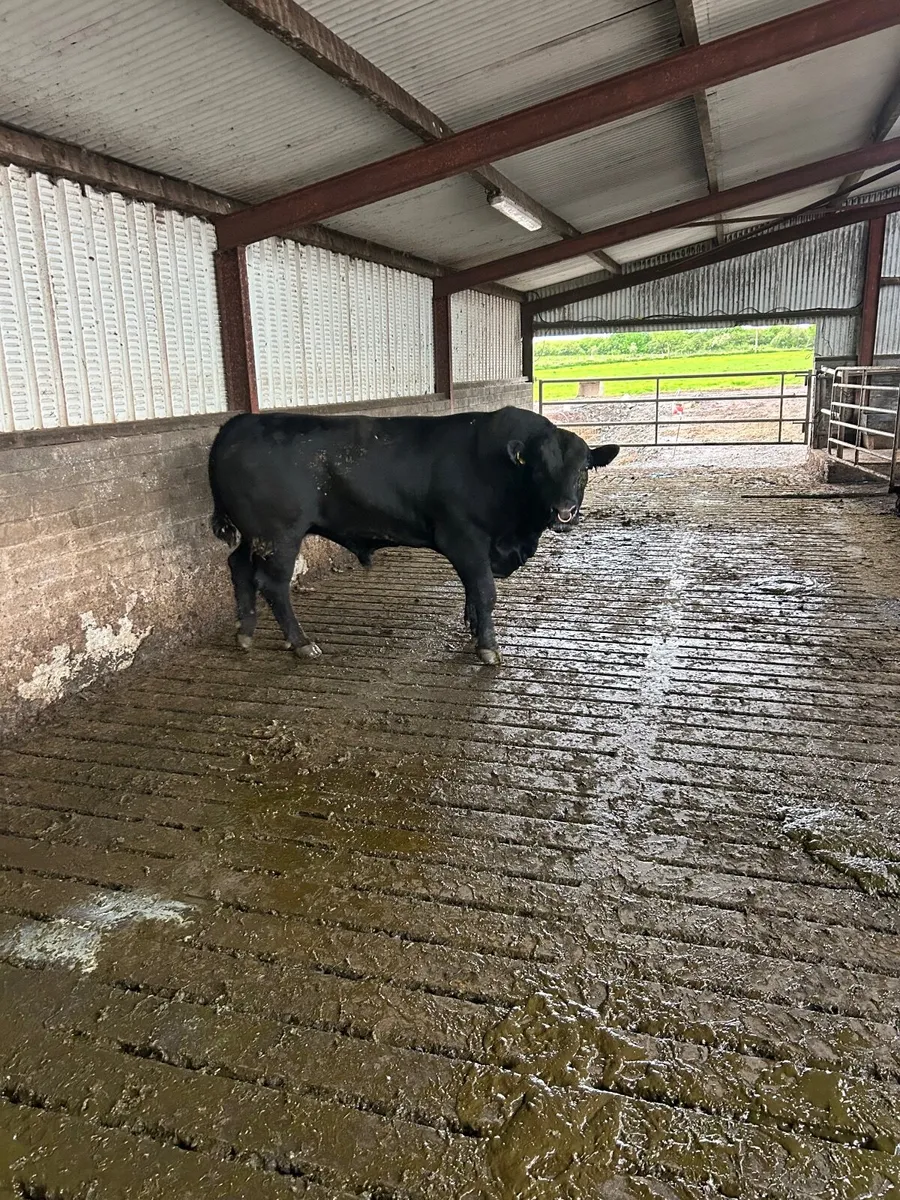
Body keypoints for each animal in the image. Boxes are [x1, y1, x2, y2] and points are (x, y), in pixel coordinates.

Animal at [207, 405, 619, 665]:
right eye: (538, 469)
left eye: (584, 468)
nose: (565, 510)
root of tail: (239, 422)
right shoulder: (464, 538)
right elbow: (485, 592)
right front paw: (488, 648)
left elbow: (473, 593)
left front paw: (473, 629)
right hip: (279, 534)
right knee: (272, 584)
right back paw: (301, 643)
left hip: (254, 535)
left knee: (238, 566)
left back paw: (245, 633)